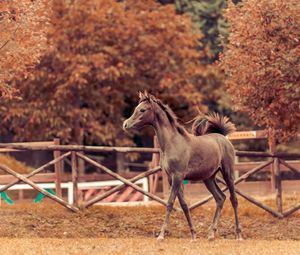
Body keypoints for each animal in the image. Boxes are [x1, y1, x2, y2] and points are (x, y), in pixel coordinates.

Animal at [123, 91, 243, 241]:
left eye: (142, 110)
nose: (126, 124)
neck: (173, 143)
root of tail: (223, 137)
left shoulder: (178, 176)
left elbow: (170, 203)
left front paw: (161, 235)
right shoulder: (172, 178)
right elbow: (184, 205)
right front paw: (193, 235)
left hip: (228, 173)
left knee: (234, 199)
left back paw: (238, 235)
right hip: (208, 178)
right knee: (220, 198)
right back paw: (211, 234)